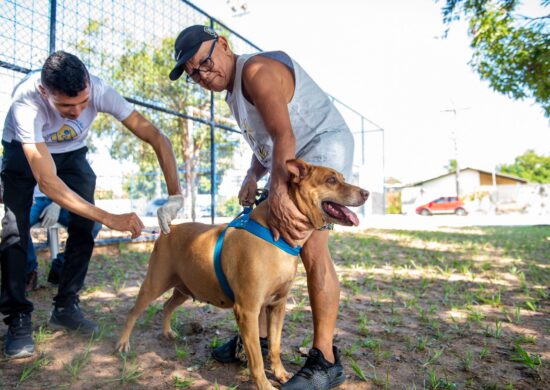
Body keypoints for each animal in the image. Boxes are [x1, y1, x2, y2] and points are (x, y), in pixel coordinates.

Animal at [117, 159, 370, 390]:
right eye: (331, 180)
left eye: (341, 177)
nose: (366, 192)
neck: (275, 235)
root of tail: (168, 229)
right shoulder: (248, 310)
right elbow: (256, 358)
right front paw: (265, 385)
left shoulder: (277, 306)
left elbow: (275, 347)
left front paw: (281, 374)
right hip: (154, 284)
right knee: (132, 312)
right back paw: (122, 343)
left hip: (184, 288)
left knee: (167, 306)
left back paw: (167, 332)